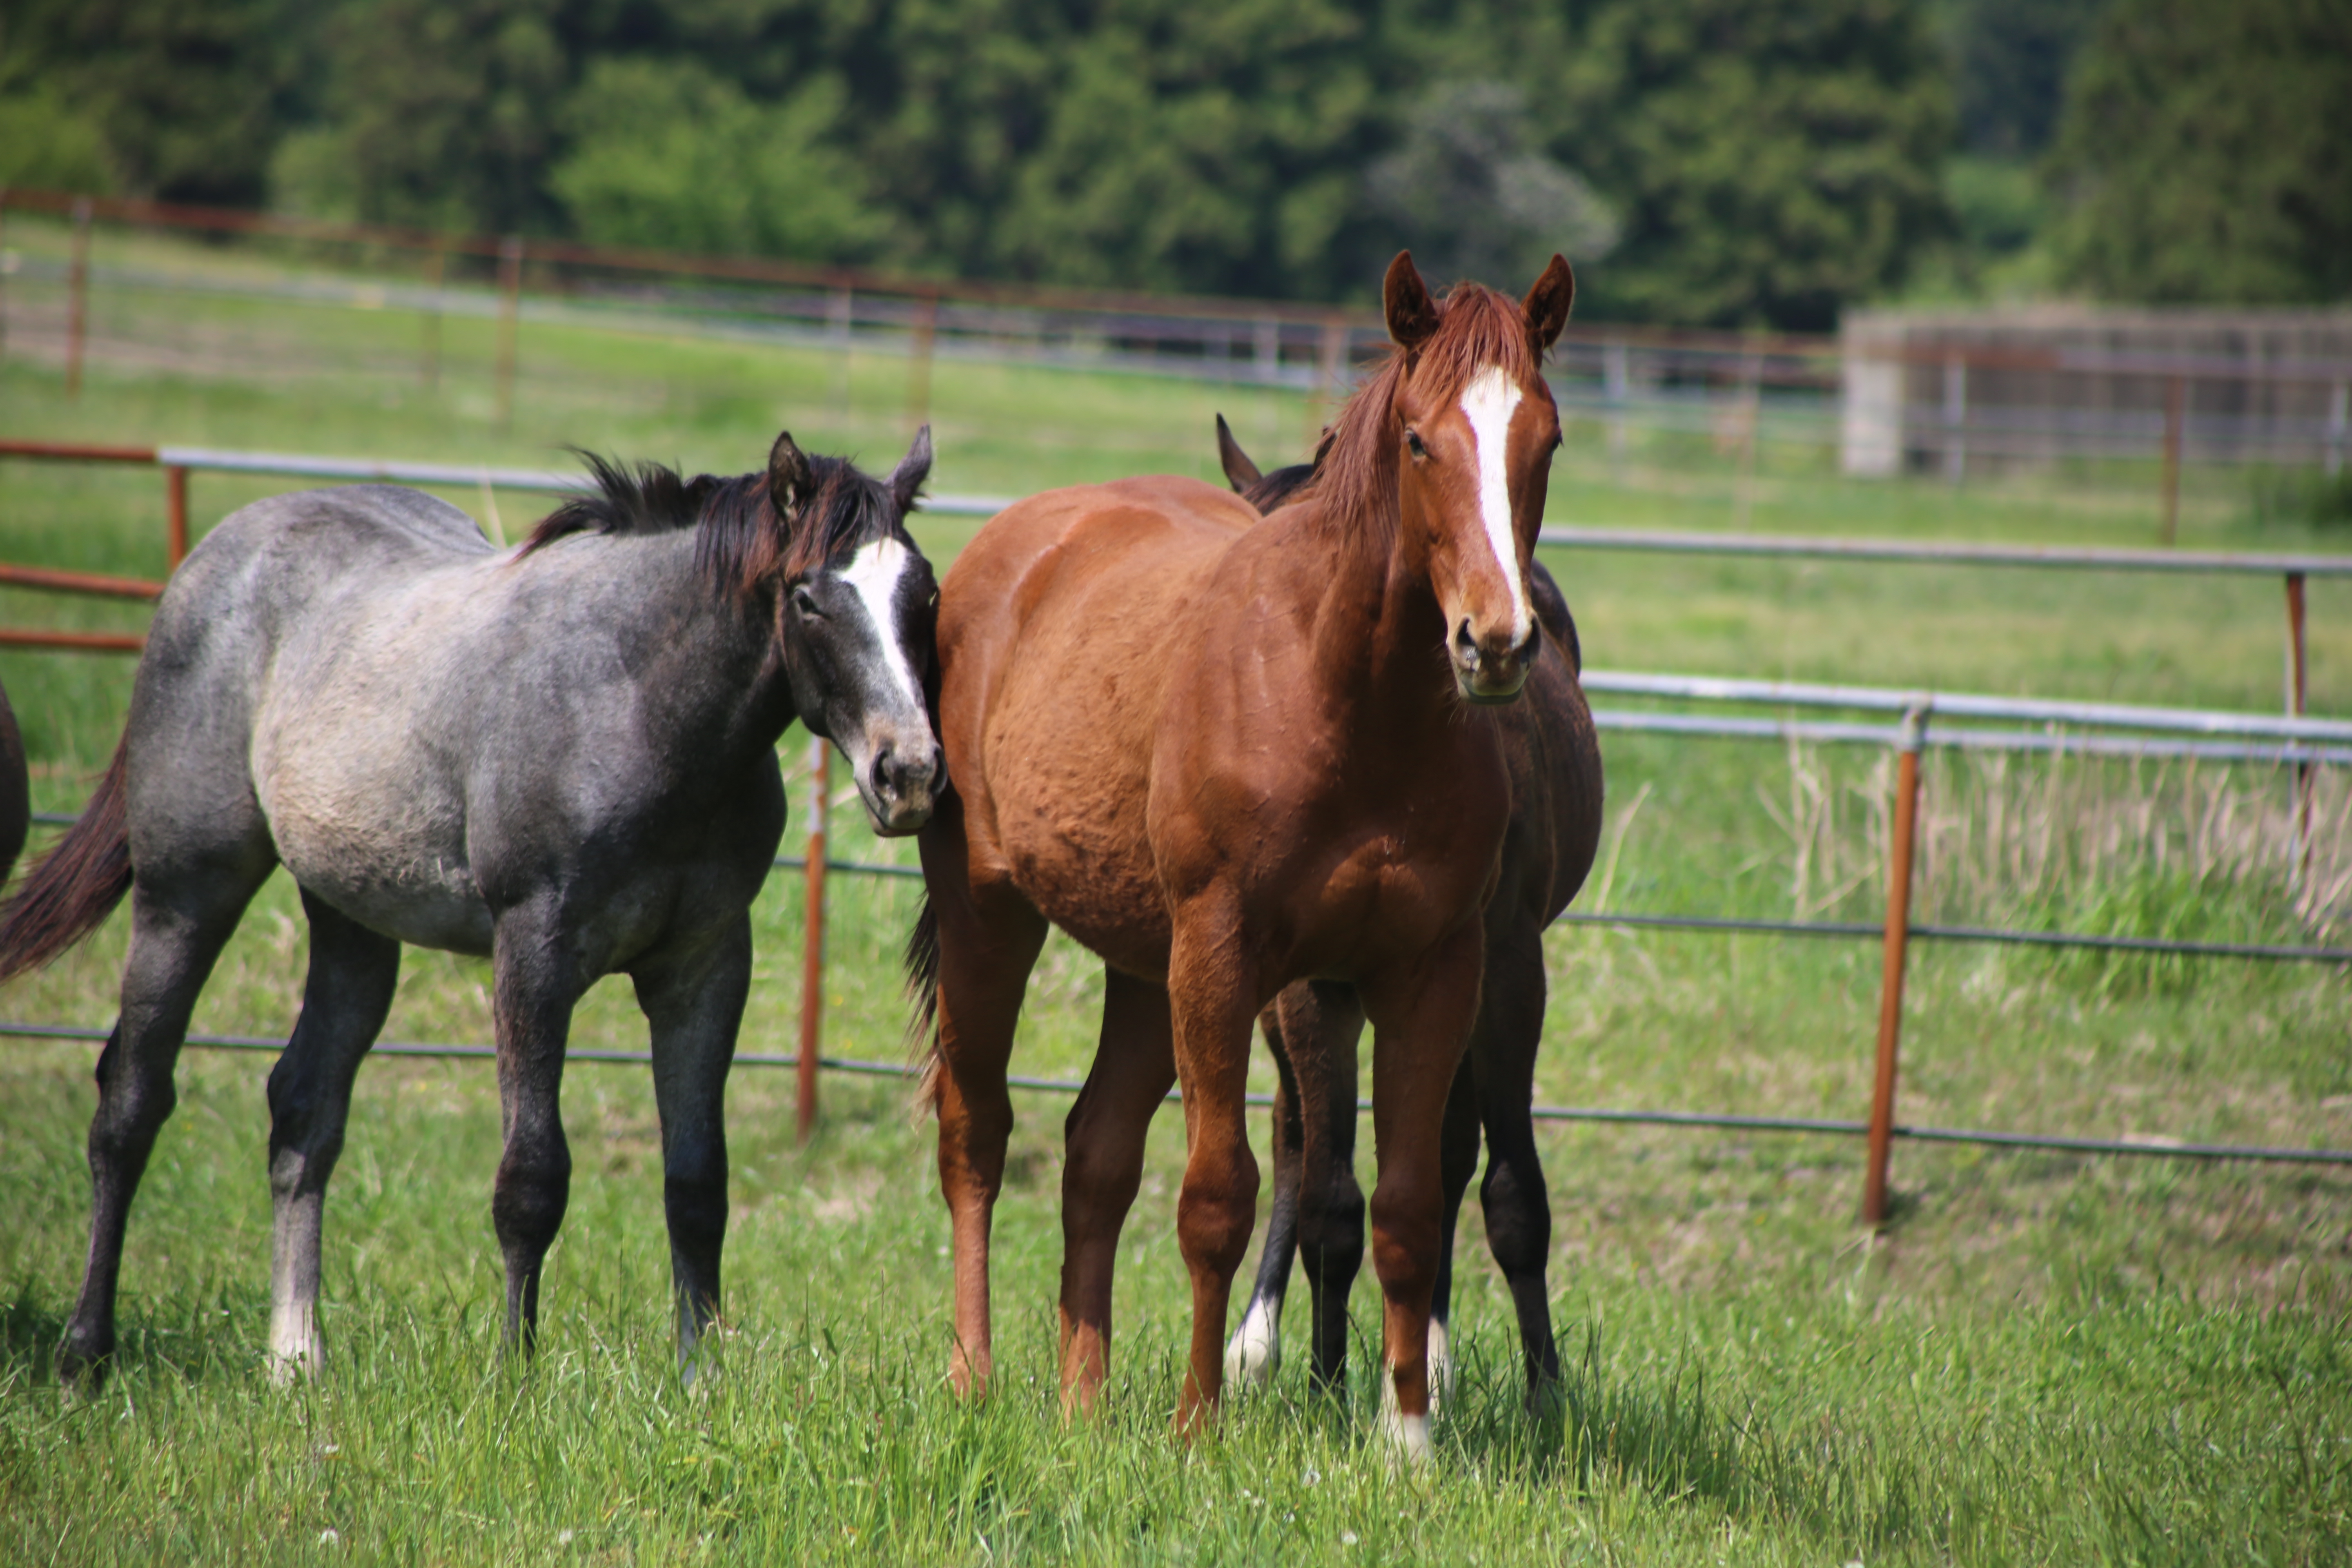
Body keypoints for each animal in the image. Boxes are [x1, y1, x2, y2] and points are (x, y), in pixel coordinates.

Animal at [0, 425, 936, 1382]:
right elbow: (531, 1179)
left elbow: (697, 1182)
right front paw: (515, 1375)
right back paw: (85, 1353)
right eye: (809, 599)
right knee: (130, 1101)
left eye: (924, 593)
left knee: (304, 1108)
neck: (636, 702)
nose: (908, 774)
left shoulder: (705, 963)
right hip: (186, 891)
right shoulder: (535, 952)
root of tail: (214, 560)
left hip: (351, 918)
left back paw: (297, 1360)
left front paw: (700, 1378)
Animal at [1204, 414, 1608, 1410]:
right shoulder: (1308, 982)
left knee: (1449, 1151)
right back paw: (1262, 1345)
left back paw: (1431, 1350)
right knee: (1300, 1139)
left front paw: (1546, 1395)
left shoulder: (1505, 969)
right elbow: (1327, 1191)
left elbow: (1507, 1189)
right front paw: (1322, 1385)